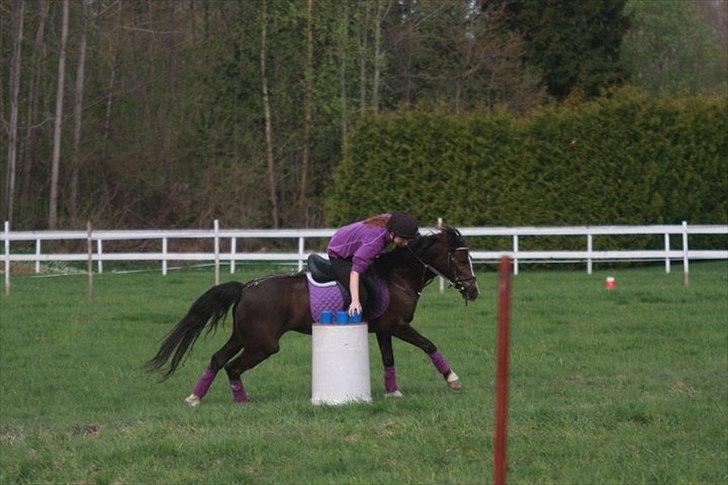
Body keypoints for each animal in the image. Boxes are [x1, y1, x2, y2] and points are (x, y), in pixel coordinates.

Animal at [145, 226, 480, 405]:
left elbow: (388, 360)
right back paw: (241, 401)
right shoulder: (397, 326)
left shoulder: (384, 329)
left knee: (217, 360)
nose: (474, 291)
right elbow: (429, 345)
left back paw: (195, 397)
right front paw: (453, 380)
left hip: (244, 336)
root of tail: (246, 287)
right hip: (263, 344)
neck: (395, 277)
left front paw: (393, 391)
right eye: (461, 259)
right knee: (232, 366)